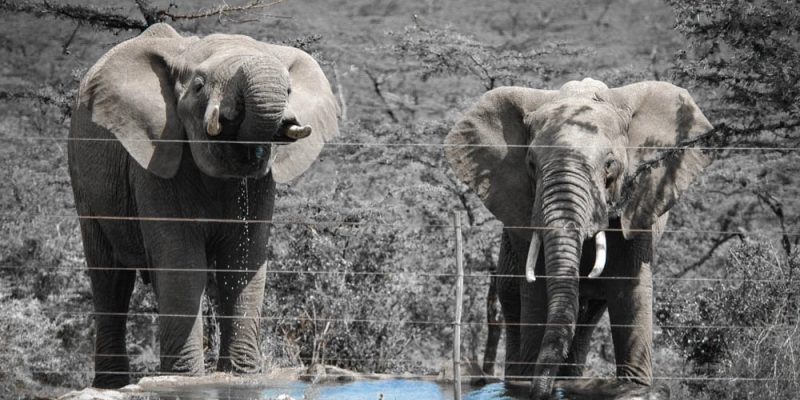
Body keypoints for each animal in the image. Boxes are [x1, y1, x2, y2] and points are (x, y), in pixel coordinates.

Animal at [67, 23, 339, 388]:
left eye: (289, 89)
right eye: (198, 86)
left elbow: (243, 261)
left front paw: (240, 376)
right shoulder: (157, 158)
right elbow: (182, 262)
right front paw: (184, 379)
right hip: (84, 179)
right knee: (110, 279)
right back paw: (111, 386)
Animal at [445, 78, 712, 399]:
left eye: (610, 165)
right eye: (531, 165)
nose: (543, 391)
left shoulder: (642, 203)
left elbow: (629, 289)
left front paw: (634, 388)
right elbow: (537, 290)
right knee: (513, 301)